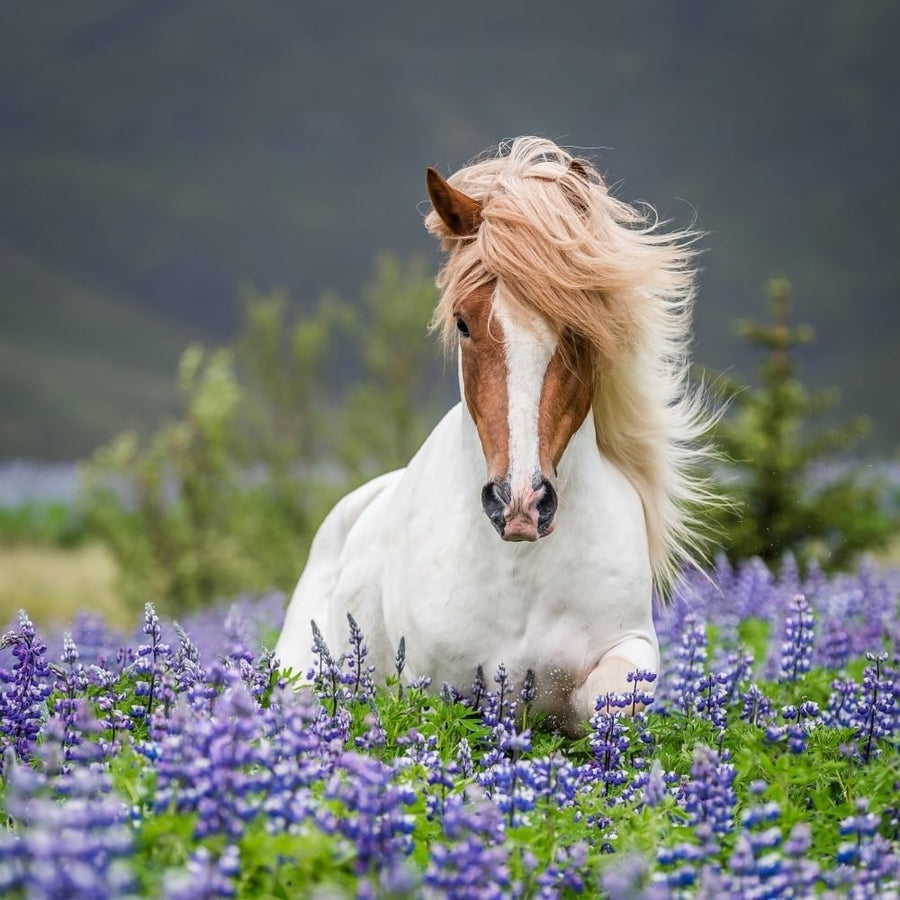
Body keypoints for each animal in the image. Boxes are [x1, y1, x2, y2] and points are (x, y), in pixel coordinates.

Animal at [278, 137, 712, 736]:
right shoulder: (436, 685)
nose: (520, 503)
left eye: (580, 327)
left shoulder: (628, 646)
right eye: (463, 322)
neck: (520, 570)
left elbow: (611, 700)